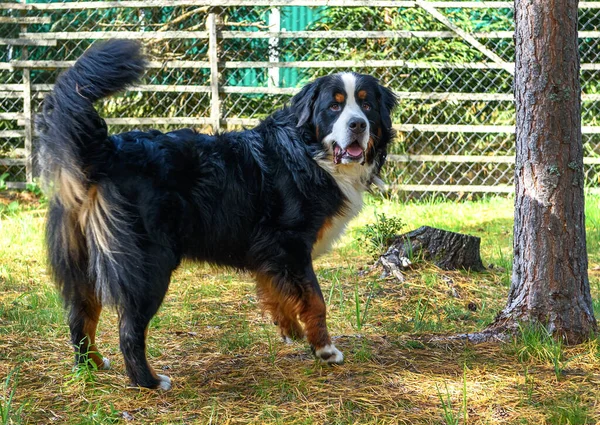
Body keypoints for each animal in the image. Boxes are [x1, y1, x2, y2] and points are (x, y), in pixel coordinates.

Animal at [36, 39, 394, 388]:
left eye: (366, 105)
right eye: (334, 106)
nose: (358, 125)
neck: (308, 152)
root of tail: (105, 152)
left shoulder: (269, 251)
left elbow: (276, 290)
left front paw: (289, 328)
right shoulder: (290, 244)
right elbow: (315, 300)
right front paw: (324, 349)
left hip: (83, 264)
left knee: (80, 318)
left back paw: (92, 365)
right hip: (149, 264)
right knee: (129, 329)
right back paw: (149, 381)